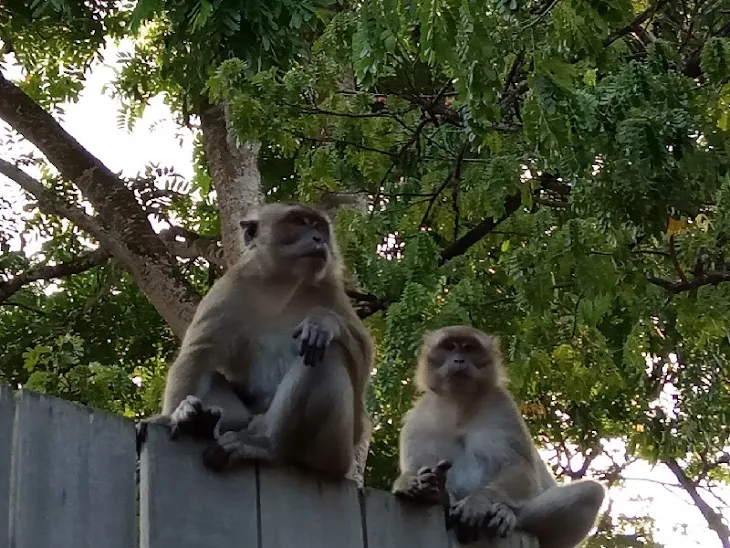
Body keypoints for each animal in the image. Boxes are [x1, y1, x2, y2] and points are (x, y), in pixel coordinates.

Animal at [136, 202, 372, 480]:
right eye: (299, 222)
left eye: (319, 227)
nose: (318, 239)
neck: (282, 284)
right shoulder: (230, 288)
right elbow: (199, 354)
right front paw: (172, 416)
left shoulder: (330, 288)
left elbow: (363, 361)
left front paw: (322, 322)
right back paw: (200, 423)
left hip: (335, 451)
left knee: (326, 352)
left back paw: (268, 445)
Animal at [392, 328, 604, 544]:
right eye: (449, 347)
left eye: (469, 348)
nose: (459, 359)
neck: (460, 405)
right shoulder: (420, 420)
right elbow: (417, 466)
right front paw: (409, 482)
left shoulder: (503, 407)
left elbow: (519, 467)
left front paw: (478, 501)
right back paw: (440, 494)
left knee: (590, 493)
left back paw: (507, 515)